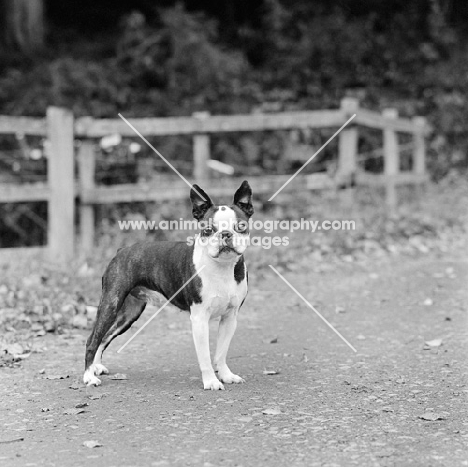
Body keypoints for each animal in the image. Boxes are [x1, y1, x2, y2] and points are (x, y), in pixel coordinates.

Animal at [82, 181, 254, 390]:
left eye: (241, 226)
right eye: (208, 230)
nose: (226, 234)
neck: (222, 267)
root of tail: (121, 250)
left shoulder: (230, 317)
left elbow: (221, 352)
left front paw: (226, 375)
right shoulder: (199, 319)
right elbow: (205, 356)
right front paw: (211, 381)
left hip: (129, 313)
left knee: (104, 337)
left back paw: (96, 367)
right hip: (111, 303)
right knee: (93, 339)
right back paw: (89, 376)